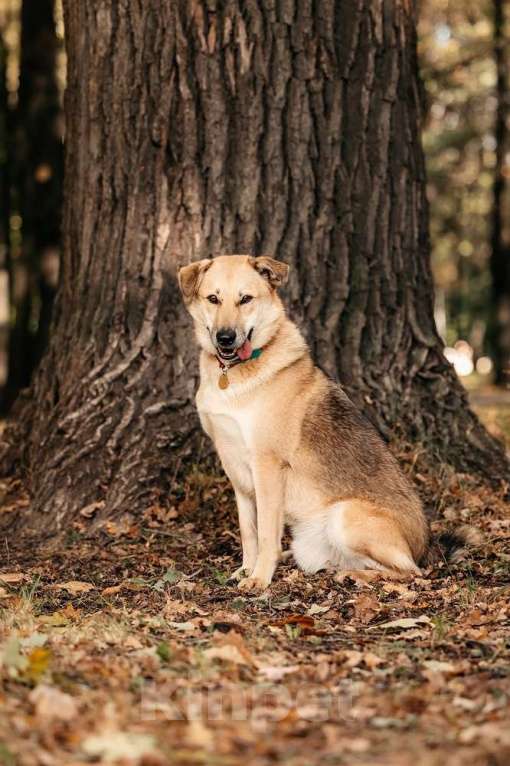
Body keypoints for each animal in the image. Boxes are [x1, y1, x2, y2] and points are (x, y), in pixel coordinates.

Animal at [177, 255, 428, 592]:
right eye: (213, 299)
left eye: (246, 299)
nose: (225, 338)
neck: (233, 374)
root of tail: (424, 545)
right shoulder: (236, 471)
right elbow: (248, 531)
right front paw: (246, 569)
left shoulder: (267, 466)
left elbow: (266, 533)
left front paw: (259, 578)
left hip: (345, 515)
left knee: (411, 572)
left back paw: (356, 576)